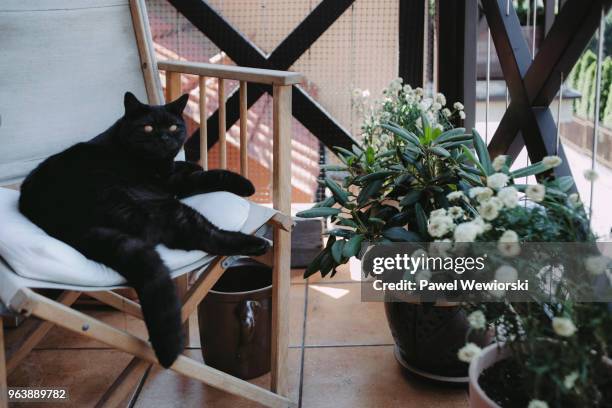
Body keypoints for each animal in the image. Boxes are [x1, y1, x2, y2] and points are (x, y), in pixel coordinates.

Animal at [19, 91, 270, 366]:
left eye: (173, 126)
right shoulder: (173, 185)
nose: (164, 137)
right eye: (148, 127)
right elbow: (210, 175)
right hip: (165, 207)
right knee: (201, 236)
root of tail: (64, 219)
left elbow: (189, 168)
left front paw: (193, 164)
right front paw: (244, 184)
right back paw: (256, 244)